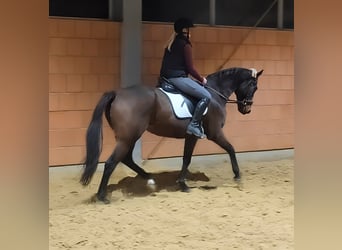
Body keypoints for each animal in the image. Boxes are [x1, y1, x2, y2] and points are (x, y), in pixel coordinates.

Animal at [81, 67, 264, 203]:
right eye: (254, 87)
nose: (247, 109)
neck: (214, 95)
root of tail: (117, 93)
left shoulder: (191, 136)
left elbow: (186, 158)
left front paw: (182, 183)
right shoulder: (214, 133)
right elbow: (231, 149)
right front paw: (237, 176)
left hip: (131, 136)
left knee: (126, 159)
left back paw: (149, 178)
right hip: (128, 137)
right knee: (111, 162)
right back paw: (102, 196)